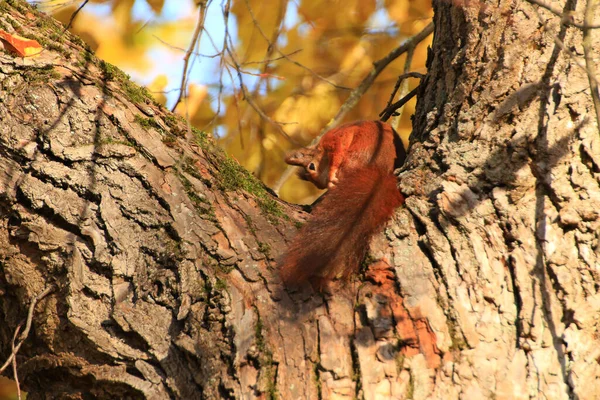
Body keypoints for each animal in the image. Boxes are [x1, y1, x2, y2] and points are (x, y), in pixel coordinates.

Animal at [278, 120, 406, 286]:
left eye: (312, 167)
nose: (325, 184)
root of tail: (383, 171)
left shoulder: (335, 139)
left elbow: (339, 146)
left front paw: (332, 174)